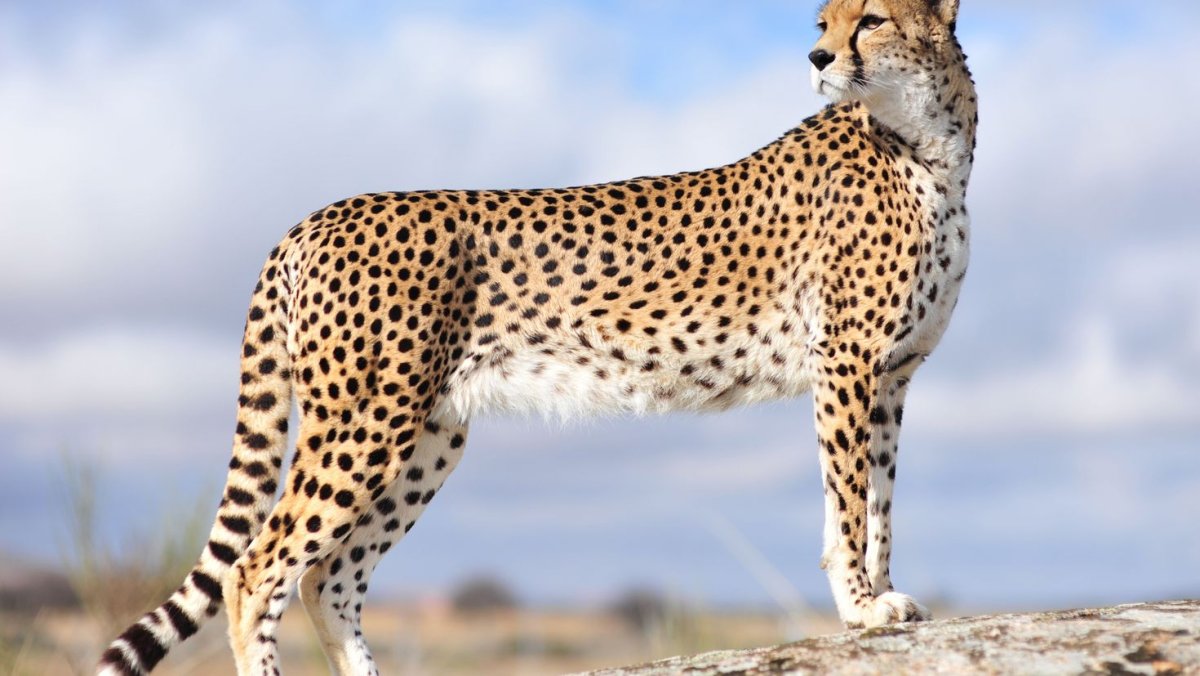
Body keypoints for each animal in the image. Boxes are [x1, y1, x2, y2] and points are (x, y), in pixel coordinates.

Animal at [99, 0, 976, 673]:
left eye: (870, 19)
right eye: (822, 21)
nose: (818, 55)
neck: (930, 145)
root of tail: (313, 218)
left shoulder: (891, 375)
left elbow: (876, 500)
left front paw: (880, 598)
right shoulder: (848, 365)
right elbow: (850, 497)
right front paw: (860, 608)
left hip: (429, 434)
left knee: (330, 579)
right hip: (365, 420)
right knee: (258, 572)